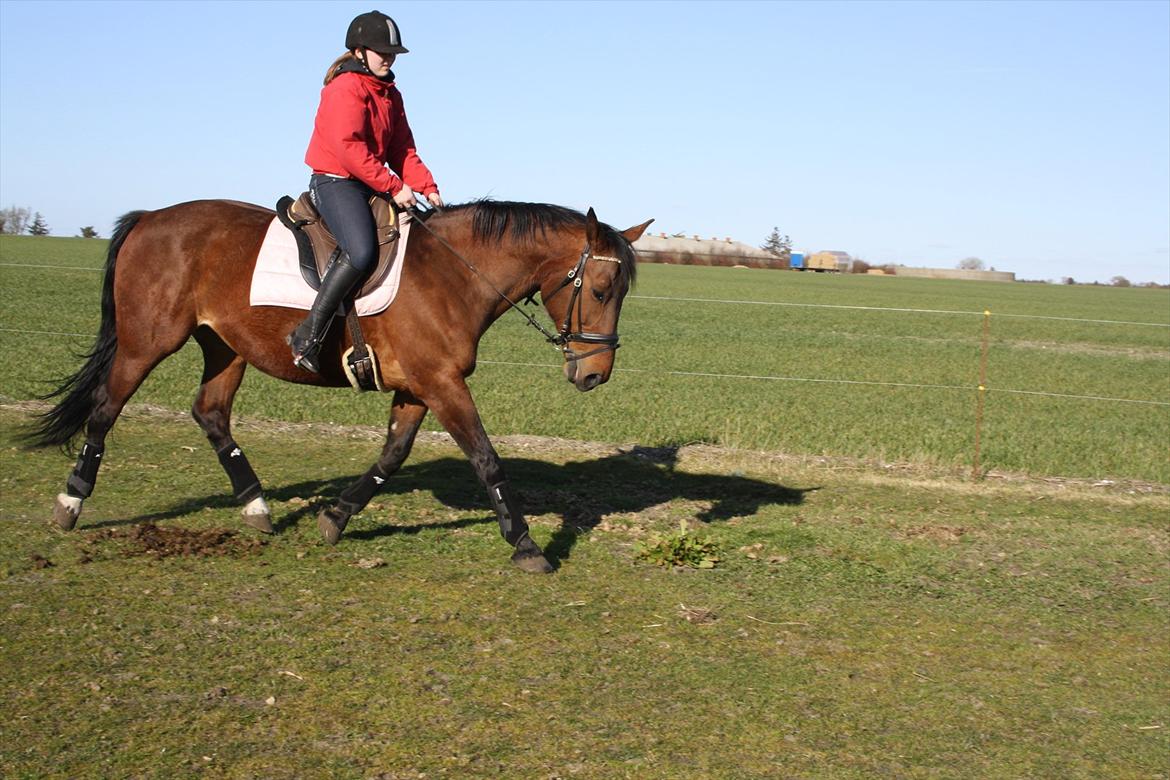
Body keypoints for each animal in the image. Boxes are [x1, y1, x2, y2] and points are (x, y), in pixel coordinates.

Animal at [27, 195, 655, 573]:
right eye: (602, 290)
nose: (595, 374)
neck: (454, 272)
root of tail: (150, 215)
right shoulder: (442, 383)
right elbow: (486, 458)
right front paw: (526, 545)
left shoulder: (419, 386)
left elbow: (393, 455)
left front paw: (336, 518)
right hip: (146, 342)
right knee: (105, 409)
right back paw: (71, 502)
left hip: (225, 347)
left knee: (210, 413)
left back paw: (257, 507)